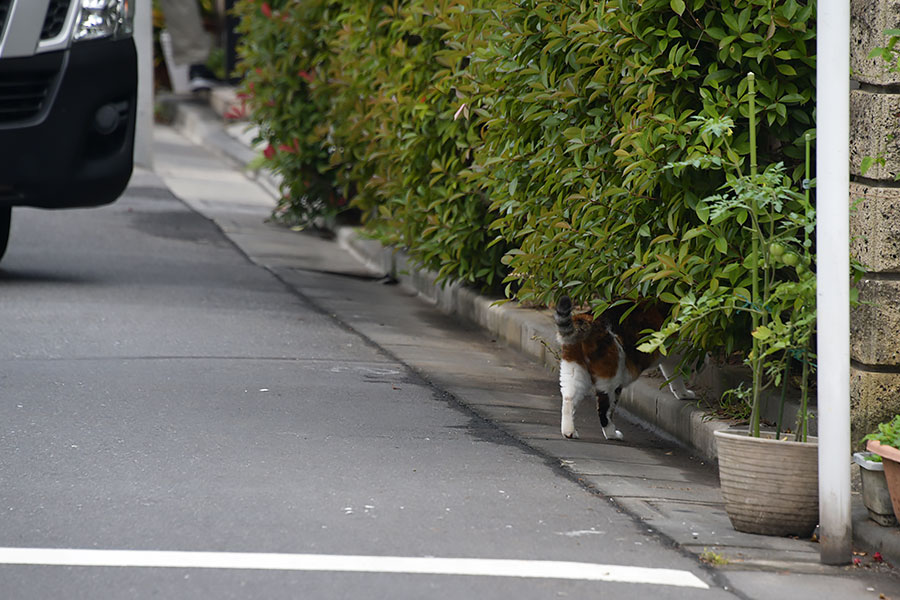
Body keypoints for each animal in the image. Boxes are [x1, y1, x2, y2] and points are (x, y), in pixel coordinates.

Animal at [556, 296, 696, 440]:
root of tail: (587, 317)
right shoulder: (675, 351)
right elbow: (677, 373)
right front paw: (684, 392)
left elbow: (672, 376)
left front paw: (682, 394)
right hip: (612, 378)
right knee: (604, 410)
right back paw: (612, 434)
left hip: (575, 370)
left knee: (568, 399)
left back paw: (569, 432)